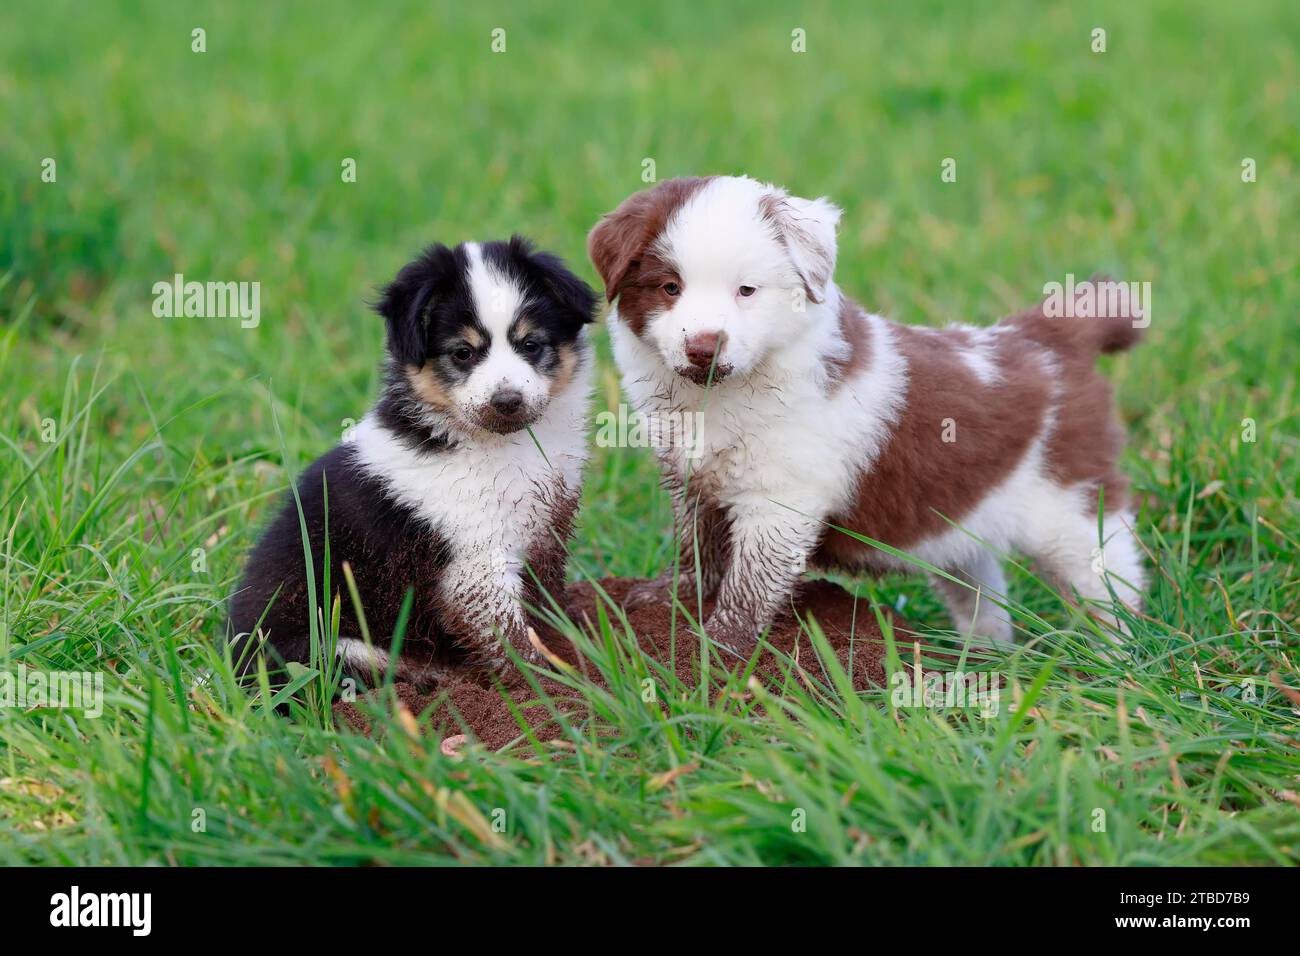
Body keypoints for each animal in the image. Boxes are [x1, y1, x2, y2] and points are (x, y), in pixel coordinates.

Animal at [231, 235, 595, 686]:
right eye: (462, 353)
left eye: (531, 345)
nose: (507, 401)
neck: (499, 445)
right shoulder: (474, 564)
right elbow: (510, 639)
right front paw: (548, 688)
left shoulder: (548, 527)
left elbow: (545, 607)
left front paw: (571, 652)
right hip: (331, 647)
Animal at [590, 174, 1149, 650]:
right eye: (670, 287)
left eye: (746, 290)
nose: (704, 347)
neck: (720, 396)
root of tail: (1049, 336)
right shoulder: (690, 476)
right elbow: (697, 545)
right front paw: (671, 596)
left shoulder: (782, 499)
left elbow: (752, 578)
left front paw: (721, 644)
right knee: (980, 588)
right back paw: (984, 654)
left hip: (1072, 503)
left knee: (1111, 583)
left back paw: (1114, 660)